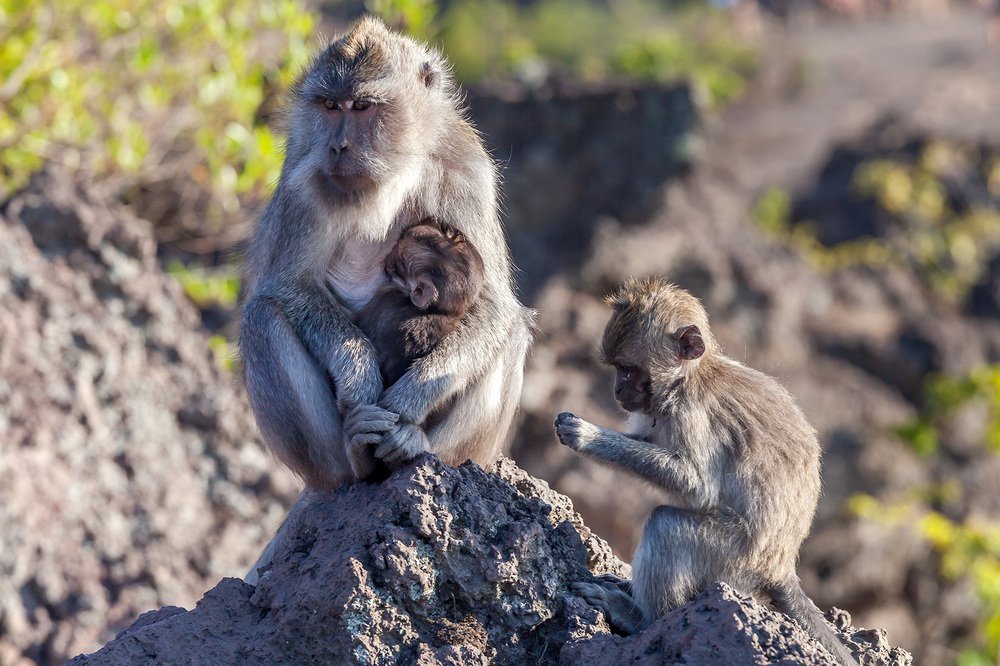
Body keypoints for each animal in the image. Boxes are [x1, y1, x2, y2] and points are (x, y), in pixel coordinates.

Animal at [553, 277, 858, 666]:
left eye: (628, 369)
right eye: (616, 369)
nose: (617, 389)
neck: (688, 378)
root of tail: (781, 566)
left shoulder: (692, 413)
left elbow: (696, 485)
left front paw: (586, 435)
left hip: (732, 560)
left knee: (665, 525)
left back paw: (640, 619)